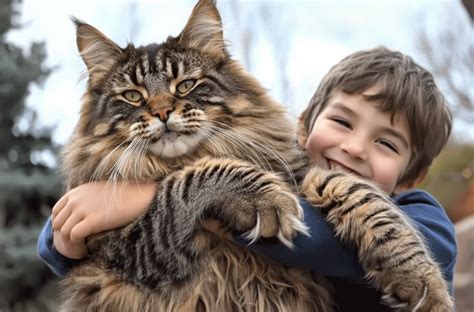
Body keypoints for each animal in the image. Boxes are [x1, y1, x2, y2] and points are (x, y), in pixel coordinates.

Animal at [59, 1, 452, 310]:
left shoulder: (298, 171)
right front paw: (265, 201)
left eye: (185, 85)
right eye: (133, 97)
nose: (161, 112)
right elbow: (193, 176)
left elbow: (365, 196)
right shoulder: (136, 250)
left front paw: (421, 281)